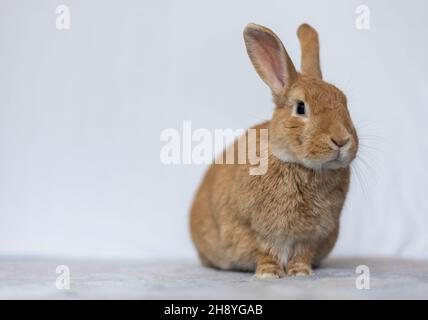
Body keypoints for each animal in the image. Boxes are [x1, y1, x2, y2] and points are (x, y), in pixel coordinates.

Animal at [191, 23, 358, 278]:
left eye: (345, 103)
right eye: (300, 107)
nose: (341, 140)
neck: (298, 164)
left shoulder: (313, 236)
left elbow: (302, 254)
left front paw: (300, 272)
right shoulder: (250, 229)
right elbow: (264, 252)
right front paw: (269, 274)